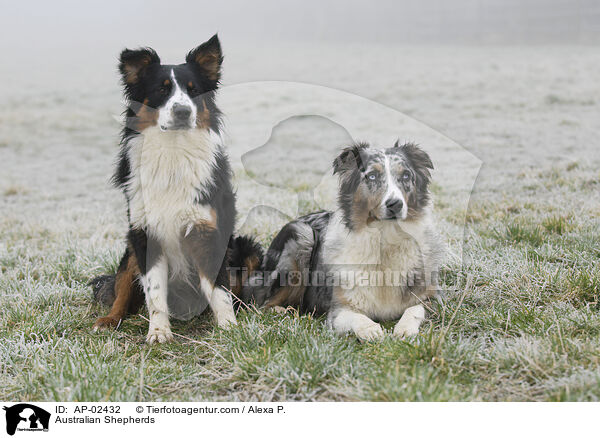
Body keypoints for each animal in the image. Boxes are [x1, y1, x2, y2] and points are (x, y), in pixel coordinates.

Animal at [244, 142, 446, 340]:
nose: (395, 204)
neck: (384, 239)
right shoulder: (338, 309)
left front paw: (405, 328)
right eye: (372, 176)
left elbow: (415, 309)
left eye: (406, 175)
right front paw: (370, 329)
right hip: (303, 235)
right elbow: (356, 317)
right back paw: (283, 311)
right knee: (263, 303)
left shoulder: (434, 299)